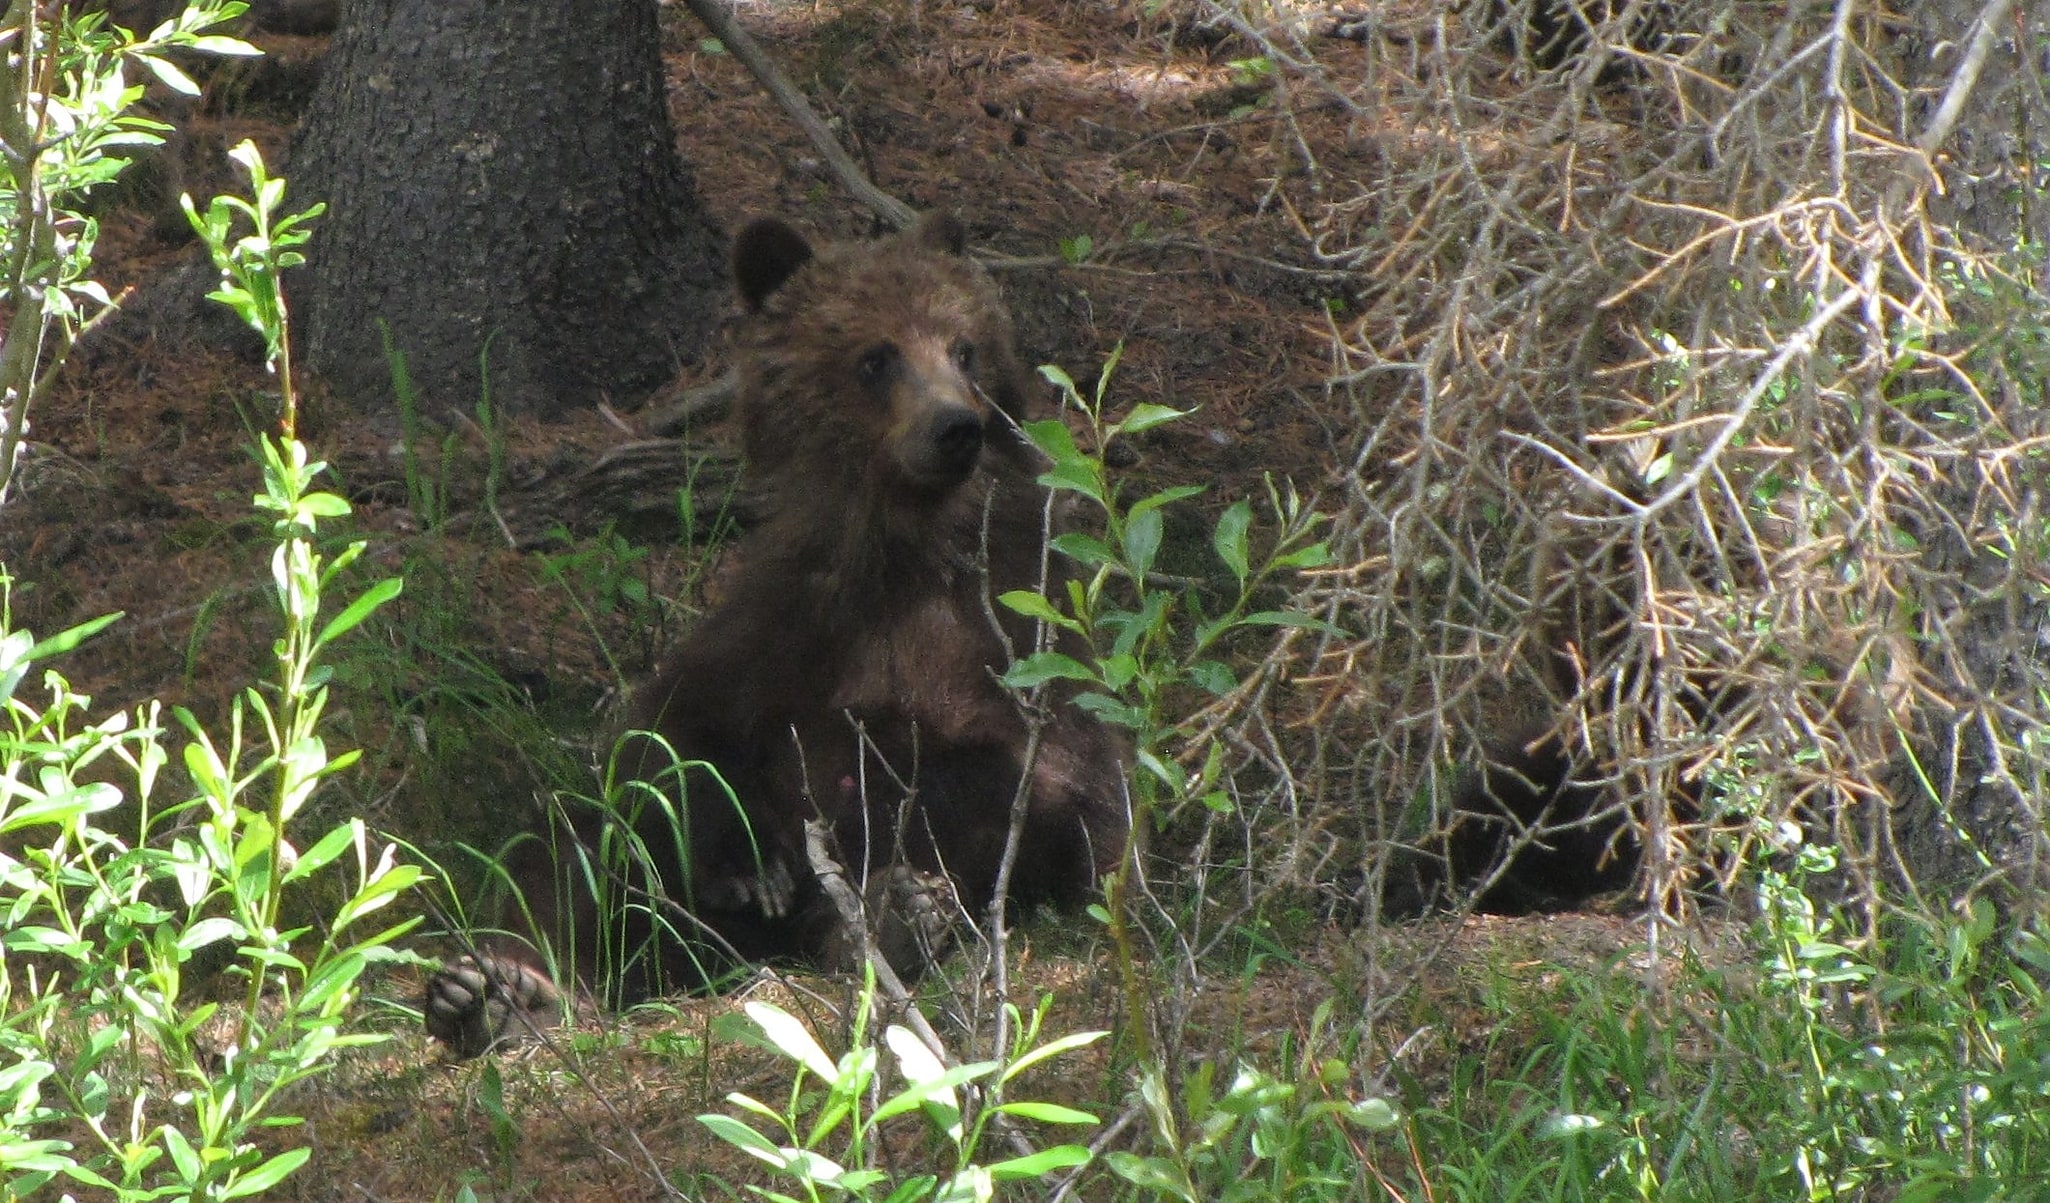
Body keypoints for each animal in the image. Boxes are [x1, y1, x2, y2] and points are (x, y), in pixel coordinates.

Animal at [430, 219, 1131, 1065]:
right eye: (877, 355)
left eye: (964, 347)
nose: (955, 426)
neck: (902, 545)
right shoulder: (785, 618)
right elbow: (668, 744)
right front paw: (746, 863)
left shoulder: (1017, 615)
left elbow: (1052, 775)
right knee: (570, 851)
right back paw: (498, 992)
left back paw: (892, 914)